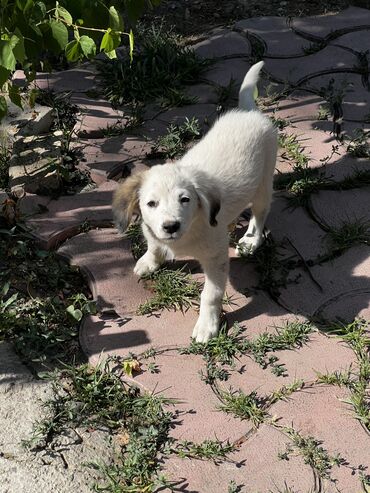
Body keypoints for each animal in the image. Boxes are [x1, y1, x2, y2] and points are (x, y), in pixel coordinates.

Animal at [112, 60, 278, 342]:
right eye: (151, 204)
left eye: (185, 199)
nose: (170, 226)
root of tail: (248, 112)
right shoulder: (151, 229)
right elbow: (153, 244)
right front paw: (149, 261)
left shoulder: (216, 258)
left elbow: (210, 295)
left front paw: (206, 326)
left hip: (264, 183)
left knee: (260, 214)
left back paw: (251, 240)